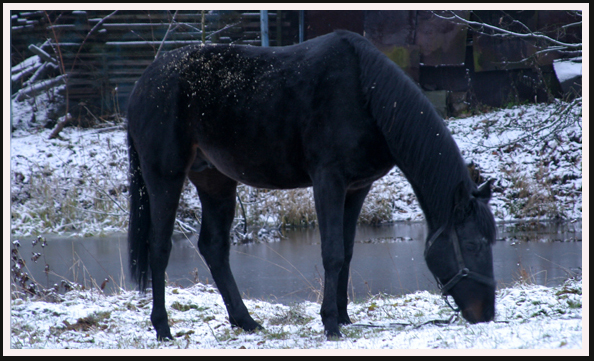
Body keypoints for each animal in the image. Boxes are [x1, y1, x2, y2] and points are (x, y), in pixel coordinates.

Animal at [127, 29, 498, 338]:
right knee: (159, 247)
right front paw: (330, 324)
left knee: (213, 247)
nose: (487, 314)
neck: (365, 95)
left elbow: (347, 252)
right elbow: (332, 253)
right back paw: (163, 328)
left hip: (214, 180)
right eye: (473, 245)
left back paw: (245, 321)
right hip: (165, 177)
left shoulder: (357, 188)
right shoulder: (328, 181)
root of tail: (143, 82)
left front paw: (344, 317)